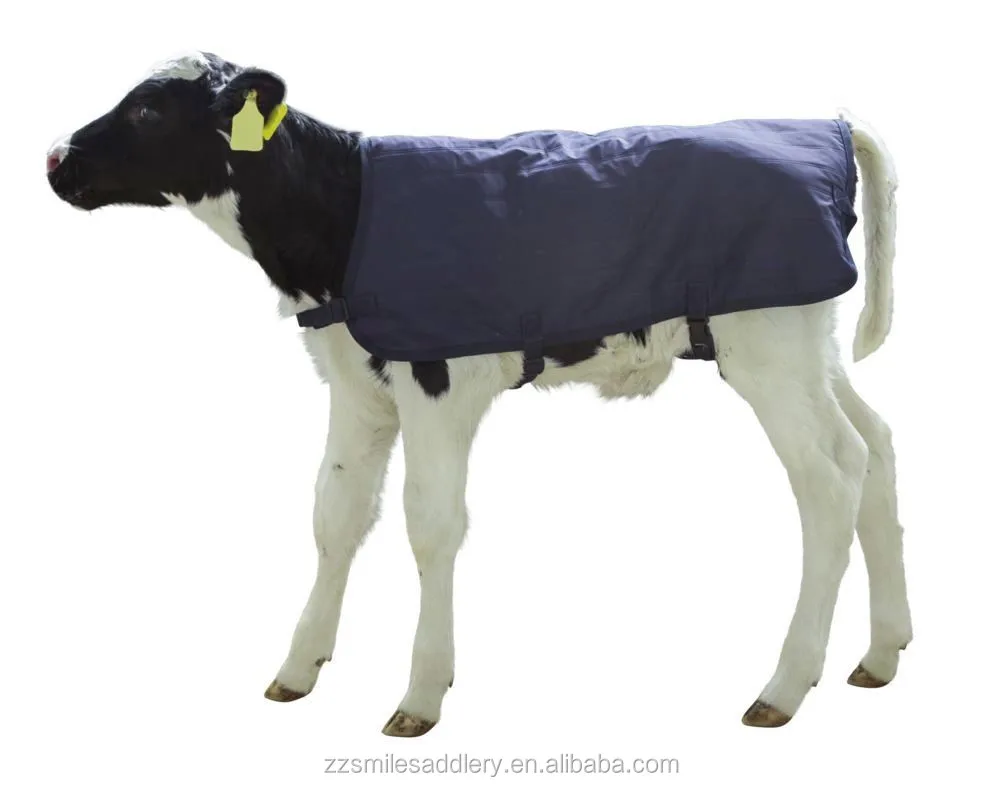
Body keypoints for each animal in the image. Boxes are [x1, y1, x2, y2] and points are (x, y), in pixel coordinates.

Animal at [47, 50, 912, 735]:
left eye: (149, 107)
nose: (56, 158)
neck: (342, 211)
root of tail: (826, 125)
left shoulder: (437, 380)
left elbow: (430, 525)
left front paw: (421, 693)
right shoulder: (355, 386)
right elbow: (334, 515)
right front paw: (298, 665)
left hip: (768, 348)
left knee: (830, 478)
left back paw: (785, 685)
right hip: (809, 345)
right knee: (875, 445)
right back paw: (881, 651)